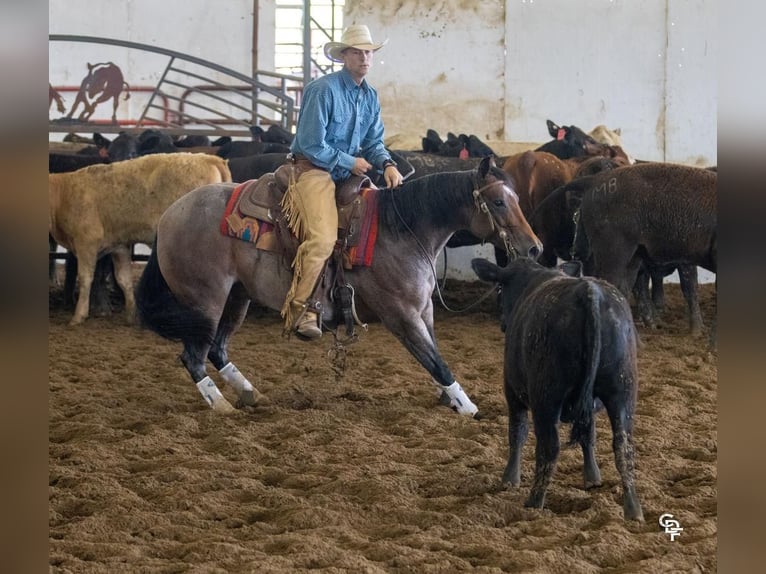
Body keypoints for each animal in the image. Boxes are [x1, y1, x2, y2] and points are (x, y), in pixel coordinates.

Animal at [48, 153, 231, 326]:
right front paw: (131, 315)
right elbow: (124, 280)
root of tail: (211, 159)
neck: (63, 193)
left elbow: (86, 278)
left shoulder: (86, 243)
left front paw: (78, 316)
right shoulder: (119, 245)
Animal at [136, 158, 544, 418]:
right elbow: (435, 360)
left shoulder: (423, 310)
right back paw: (221, 406)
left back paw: (251, 394)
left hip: (237, 297)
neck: (401, 230)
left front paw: (449, 399)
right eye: (497, 201)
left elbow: (434, 352)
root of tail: (168, 216)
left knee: (218, 350)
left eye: (516, 199)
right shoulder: (400, 314)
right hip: (206, 300)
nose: (533, 248)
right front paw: (467, 406)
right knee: (193, 356)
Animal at [472, 258, 644, 524]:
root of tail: (590, 292)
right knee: (623, 448)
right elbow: (589, 435)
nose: (502, 323)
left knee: (549, 447)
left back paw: (534, 502)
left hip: (546, 397)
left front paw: (510, 478)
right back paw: (633, 509)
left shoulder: (513, 391)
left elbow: (517, 432)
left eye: (500, 289)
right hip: (622, 393)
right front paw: (592, 477)